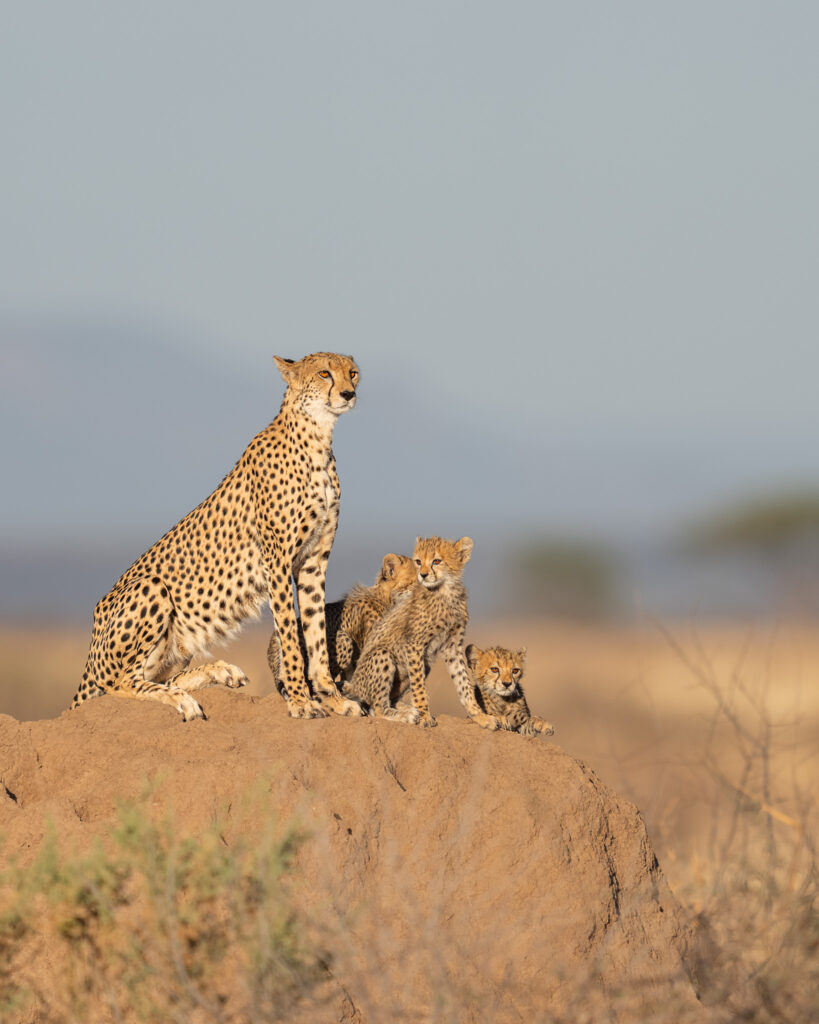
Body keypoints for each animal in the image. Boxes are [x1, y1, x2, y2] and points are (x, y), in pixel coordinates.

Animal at [72, 351, 364, 722]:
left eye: (352, 373)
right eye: (325, 374)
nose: (348, 394)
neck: (317, 439)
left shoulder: (314, 562)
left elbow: (315, 636)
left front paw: (334, 699)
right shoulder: (277, 563)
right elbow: (290, 636)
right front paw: (301, 701)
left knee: (159, 676)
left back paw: (220, 672)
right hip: (150, 588)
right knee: (119, 681)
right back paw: (183, 699)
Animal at [345, 536, 499, 730]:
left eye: (437, 561)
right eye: (418, 562)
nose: (423, 575)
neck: (445, 592)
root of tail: (353, 685)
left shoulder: (452, 647)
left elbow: (463, 682)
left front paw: (480, 716)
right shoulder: (414, 644)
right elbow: (418, 685)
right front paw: (424, 716)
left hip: (425, 664)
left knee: (387, 702)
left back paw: (407, 710)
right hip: (382, 655)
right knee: (377, 708)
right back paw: (408, 716)